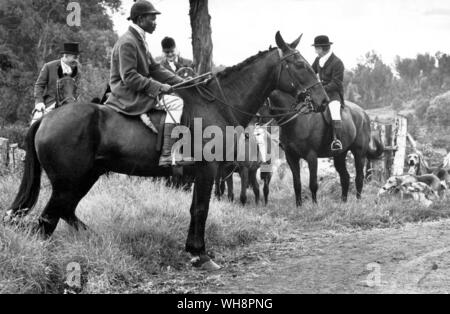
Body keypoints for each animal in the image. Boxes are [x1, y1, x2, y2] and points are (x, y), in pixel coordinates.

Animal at [3, 33, 326, 270]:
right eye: (300, 65)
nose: (322, 101)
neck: (217, 103)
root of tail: (47, 118)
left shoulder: (203, 173)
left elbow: (196, 208)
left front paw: (194, 251)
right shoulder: (207, 171)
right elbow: (201, 208)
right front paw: (201, 255)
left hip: (83, 178)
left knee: (64, 212)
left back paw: (97, 241)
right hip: (67, 182)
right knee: (47, 220)